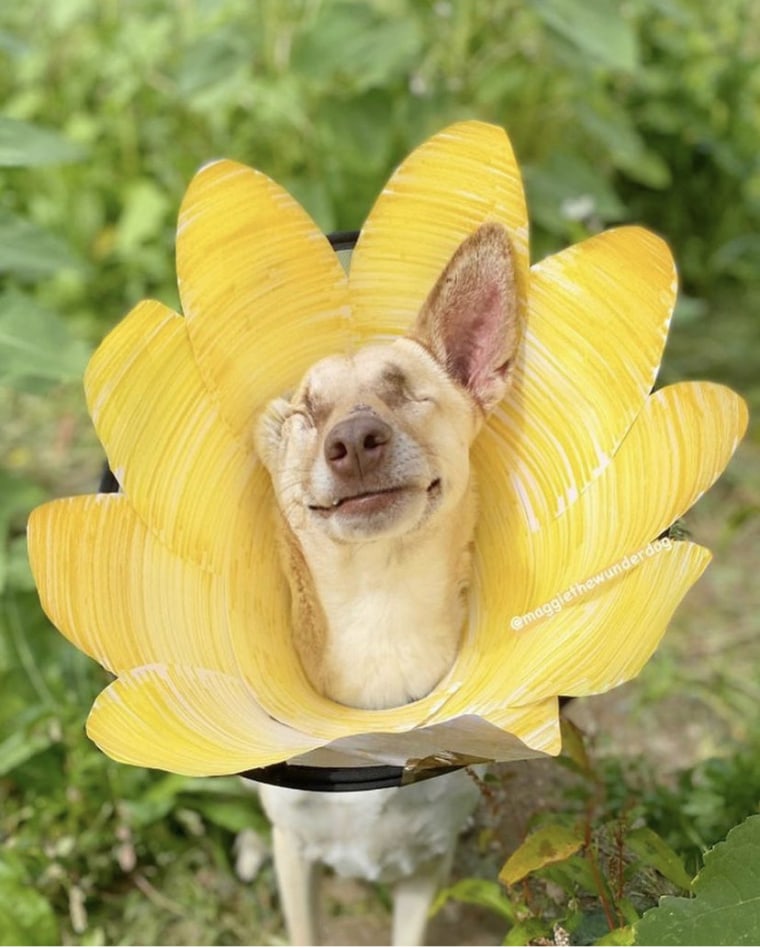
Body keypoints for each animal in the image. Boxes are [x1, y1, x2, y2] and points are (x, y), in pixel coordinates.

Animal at [252, 223, 520, 944]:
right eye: (309, 413)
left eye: (404, 392)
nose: (354, 440)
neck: (381, 611)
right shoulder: (297, 859)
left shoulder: (428, 866)